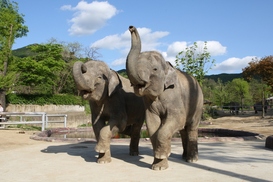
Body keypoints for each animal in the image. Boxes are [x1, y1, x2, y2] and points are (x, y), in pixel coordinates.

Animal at [125, 26, 202, 171]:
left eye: (154, 69)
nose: (131, 27)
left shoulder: (174, 96)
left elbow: (175, 119)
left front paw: (161, 158)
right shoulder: (148, 103)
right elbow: (152, 124)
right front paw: (158, 165)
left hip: (198, 103)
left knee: (191, 127)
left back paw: (192, 159)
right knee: (183, 130)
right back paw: (184, 157)